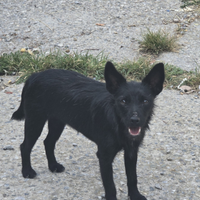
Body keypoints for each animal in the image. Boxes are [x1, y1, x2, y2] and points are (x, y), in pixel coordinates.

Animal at [11, 61, 164, 199]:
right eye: (123, 101)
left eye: (145, 101)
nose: (134, 120)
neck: (117, 123)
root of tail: (34, 76)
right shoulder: (104, 156)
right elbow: (110, 185)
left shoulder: (131, 152)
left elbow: (132, 178)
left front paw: (135, 195)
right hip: (35, 121)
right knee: (25, 146)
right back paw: (27, 171)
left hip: (57, 122)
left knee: (48, 142)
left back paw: (53, 165)